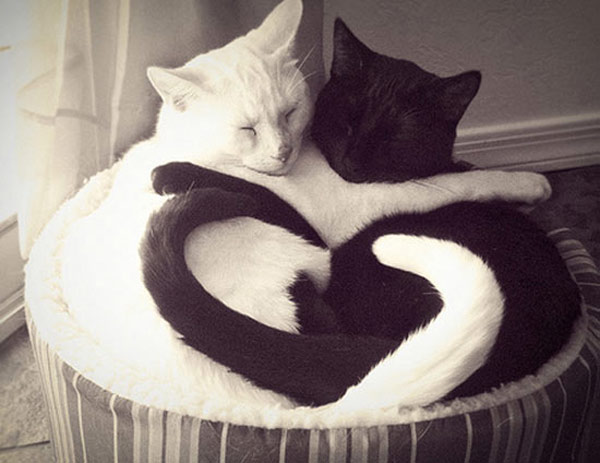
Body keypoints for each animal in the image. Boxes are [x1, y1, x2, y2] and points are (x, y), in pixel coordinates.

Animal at [59, 0, 548, 416]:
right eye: (248, 129)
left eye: (291, 112)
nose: (283, 151)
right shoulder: (359, 202)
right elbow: (456, 182)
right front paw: (528, 182)